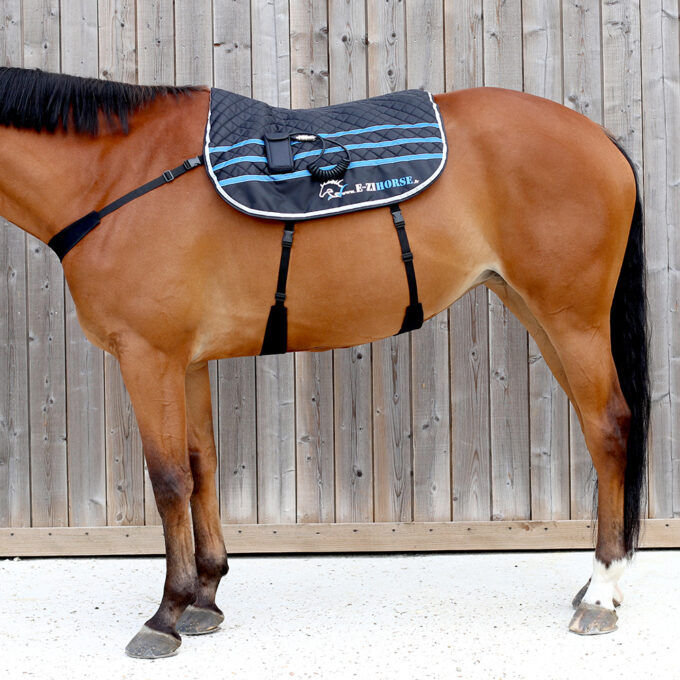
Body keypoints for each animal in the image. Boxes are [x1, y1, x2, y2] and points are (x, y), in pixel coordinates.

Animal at [0, 67, 649, 658]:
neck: (118, 174)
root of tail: (600, 138)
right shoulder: (185, 362)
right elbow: (201, 467)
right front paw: (206, 598)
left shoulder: (148, 356)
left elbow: (168, 480)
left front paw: (166, 614)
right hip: (536, 311)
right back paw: (603, 584)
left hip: (572, 320)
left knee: (609, 429)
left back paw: (601, 593)